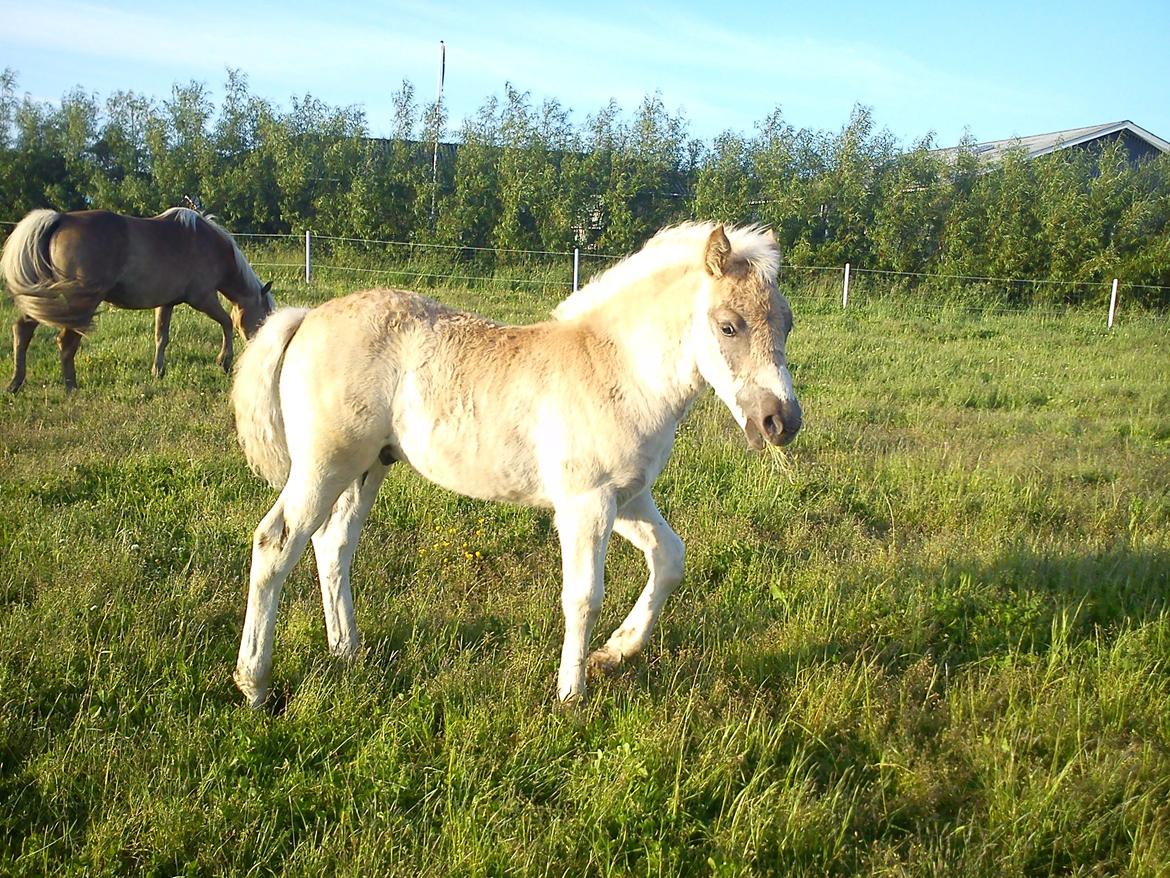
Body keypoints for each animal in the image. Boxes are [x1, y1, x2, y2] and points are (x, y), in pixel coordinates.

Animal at [0, 208, 274, 393]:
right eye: (263, 318)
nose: (260, 349)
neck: (210, 244)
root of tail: (61, 218)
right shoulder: (202, 298)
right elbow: (226, 322)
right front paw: (224, 361)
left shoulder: (166, 303)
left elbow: (161, 336)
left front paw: (158, 371)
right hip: (80, 303)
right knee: (65, 343)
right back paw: (71, 388)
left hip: (43, 299)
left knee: (22, 331)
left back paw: (16, 383)